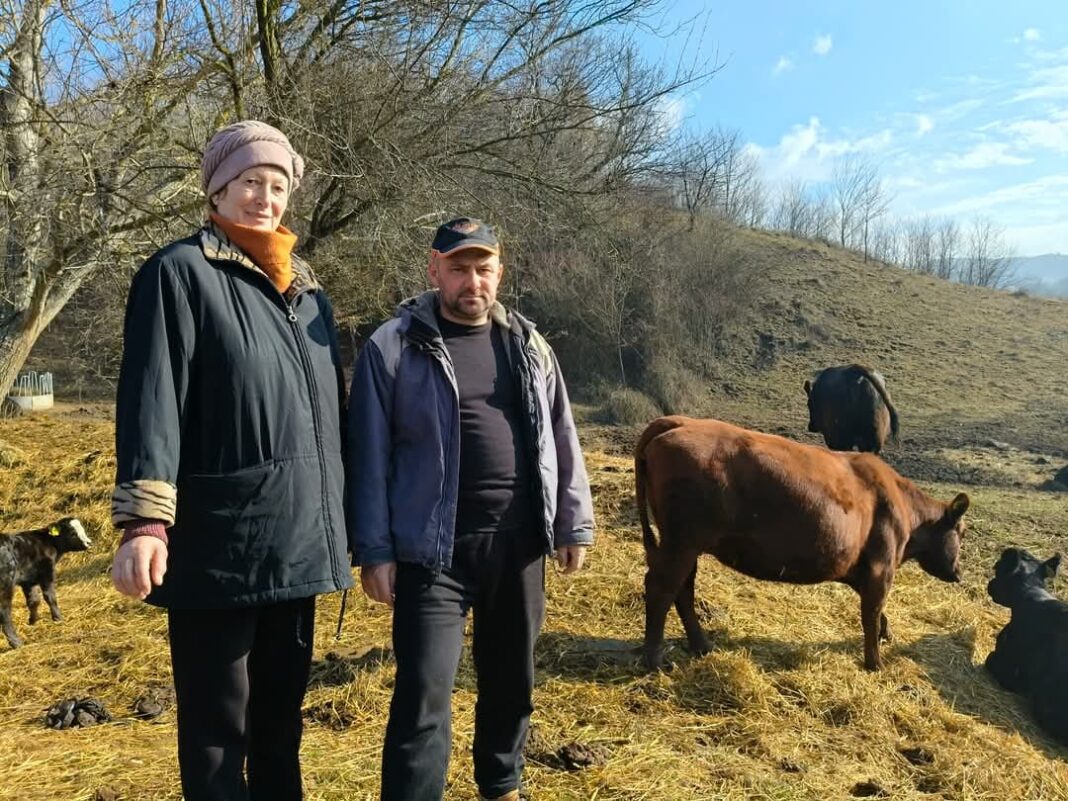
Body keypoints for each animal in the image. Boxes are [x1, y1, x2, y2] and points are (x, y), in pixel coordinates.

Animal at [0, 516, 90, 649]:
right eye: (72, 532)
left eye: (82, 529)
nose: (89, 542)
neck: (48, 542)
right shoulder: (47, 573)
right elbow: (50, 597)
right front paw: (58, 618)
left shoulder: (28, 580)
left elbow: (34, 601)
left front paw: (32, 621)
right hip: (6, 585)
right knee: (5, 612)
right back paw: (16, 642)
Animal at [636, 416, 974, 674]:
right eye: (962, 532)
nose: (958, 573)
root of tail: (680, 420)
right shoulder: (881, 568)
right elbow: (872, 613)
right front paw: (875, 664)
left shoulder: (861, 570)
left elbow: (878, 614)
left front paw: (885, 635)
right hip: (681, 542)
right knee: (662, 589)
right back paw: (654, 660)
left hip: (685, 545)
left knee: (684, 590)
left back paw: (701, 645)